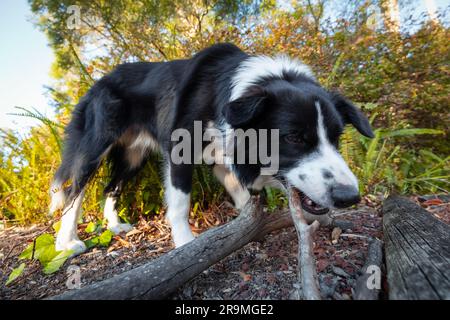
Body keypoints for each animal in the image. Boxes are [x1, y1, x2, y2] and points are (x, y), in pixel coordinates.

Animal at [50, 43, 372, 255]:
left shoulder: (222, 153)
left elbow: (241, 193)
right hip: (95, 147)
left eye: (336, 137)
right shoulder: (180, 151)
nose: (349, 197)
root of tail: (95, 85)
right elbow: (180, 203)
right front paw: (185, 245)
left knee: (111, 187)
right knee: (74, 192)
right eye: (294, 137)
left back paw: (115, 225)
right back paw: (66, 241)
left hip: (134, 156)